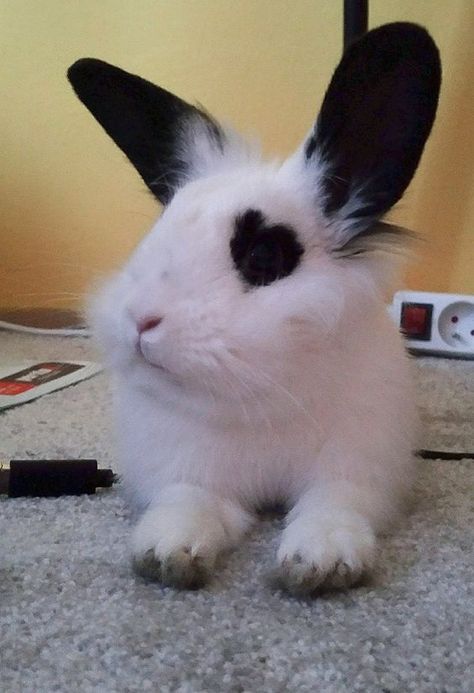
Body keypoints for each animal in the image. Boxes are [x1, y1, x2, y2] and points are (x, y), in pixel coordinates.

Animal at [66, 23, 440, 596]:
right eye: (157, 231)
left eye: (263, 256)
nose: (141, 321)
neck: (262, 397)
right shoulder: (190, 471)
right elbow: (189, 503)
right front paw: (167, 554)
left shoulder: (357, 472)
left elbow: (332, 505)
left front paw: (319, 563)